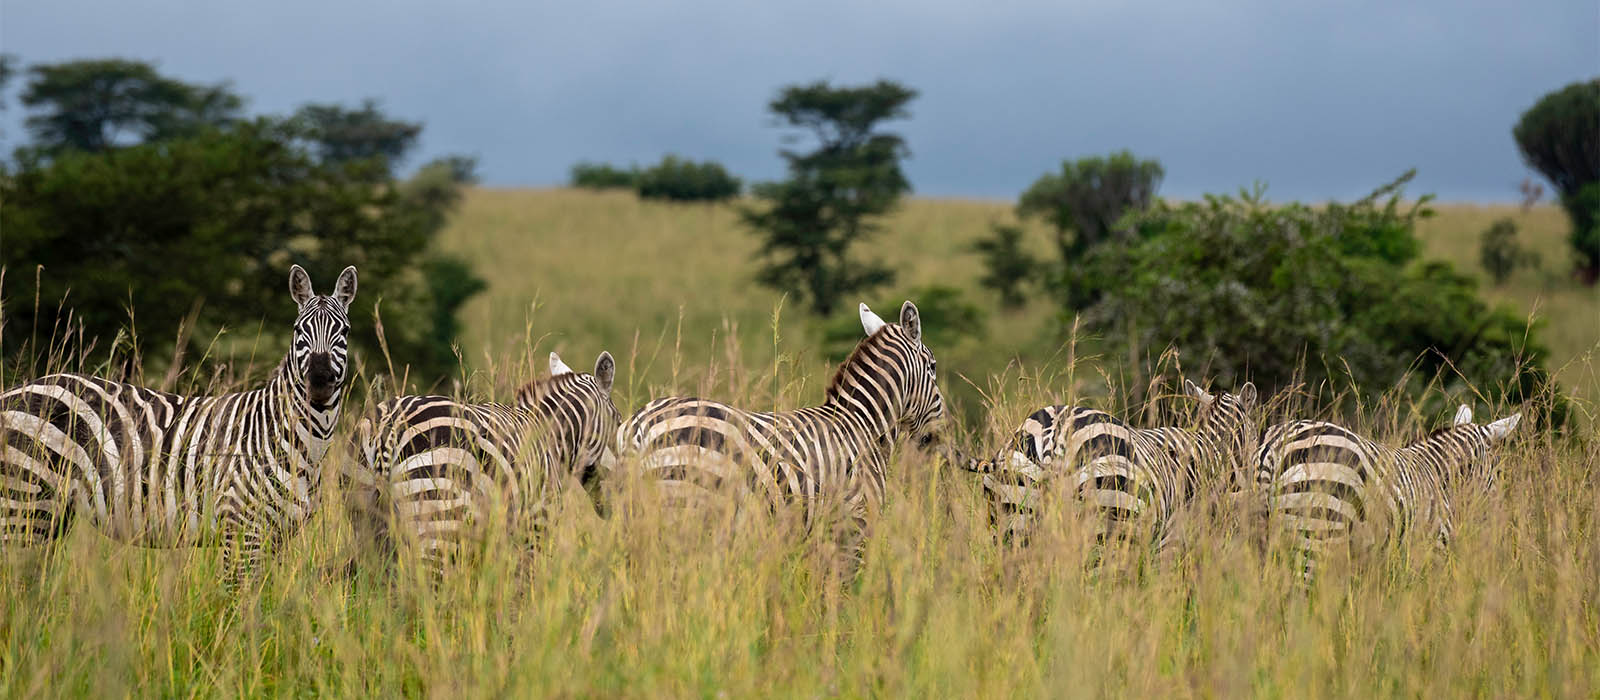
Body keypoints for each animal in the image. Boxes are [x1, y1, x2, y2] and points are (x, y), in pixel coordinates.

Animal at [2, 265, 360, 588]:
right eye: (299, 331)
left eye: (344, 332)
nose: (319, 380)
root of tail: (14, 391)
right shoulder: (239, 527)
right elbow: (239, 603)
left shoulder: (278, 536)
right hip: (24, 502)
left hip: (51, 515)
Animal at [347, 348, 620, 575]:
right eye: (618, 421)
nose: (618, 491)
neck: (550, 434)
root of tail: (389, 426)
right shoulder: (536, 522)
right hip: (437, 518)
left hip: (365, 522)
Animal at [1254, 402, 1516, 581]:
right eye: (1495, 469)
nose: (1499, 519)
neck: (1437, 473)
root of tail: (1275, 445)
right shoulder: (1431, 550)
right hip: (1318, 531)